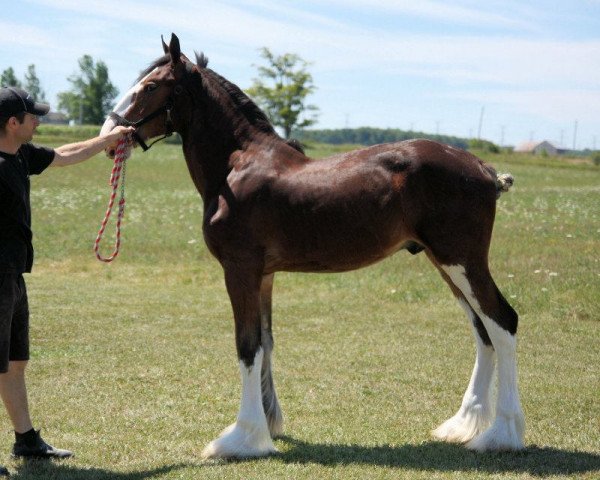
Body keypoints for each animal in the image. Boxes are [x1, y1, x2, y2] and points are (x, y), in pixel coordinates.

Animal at [102, 32, 524, 458]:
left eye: (151, 86)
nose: (109, 133)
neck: (237, 167)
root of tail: (483, 169)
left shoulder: (240, 269)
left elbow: (247, 346)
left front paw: (241, 437)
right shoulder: (264, 276)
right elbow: (266, 342)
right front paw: (268, 425)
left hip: (462, 261)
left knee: (502, 322)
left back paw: (501, 434)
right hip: (447, 265)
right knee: (482, 330)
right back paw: (463, 423)